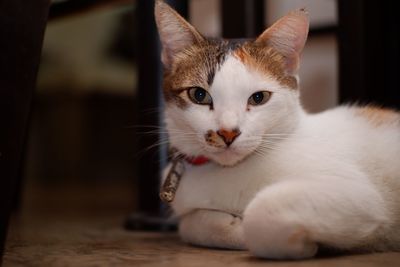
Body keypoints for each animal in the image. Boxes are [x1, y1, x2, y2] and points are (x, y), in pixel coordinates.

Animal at [154, 0, 400, 260]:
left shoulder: (358, 194)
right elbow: (190, 224)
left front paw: (301, 246)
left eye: (259, 98)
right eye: (199, 95)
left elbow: (261, 211)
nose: (228, 132)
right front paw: (231, 228)